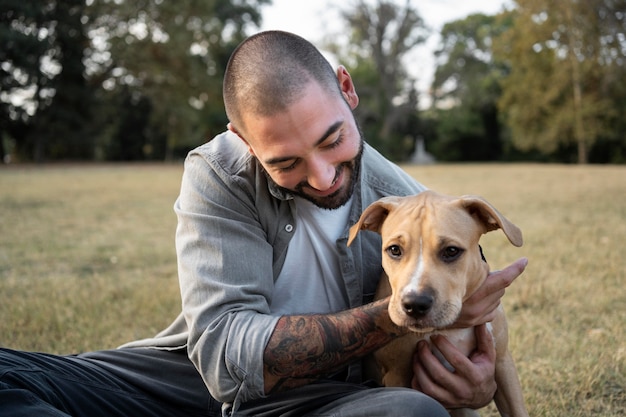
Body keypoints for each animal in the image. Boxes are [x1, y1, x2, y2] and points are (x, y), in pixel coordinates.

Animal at [346, 191, 528, 416]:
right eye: (394, 250)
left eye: (451, 251)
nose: (415, 304)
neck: (451, 327)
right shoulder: (397, 373)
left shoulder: (502, 362)